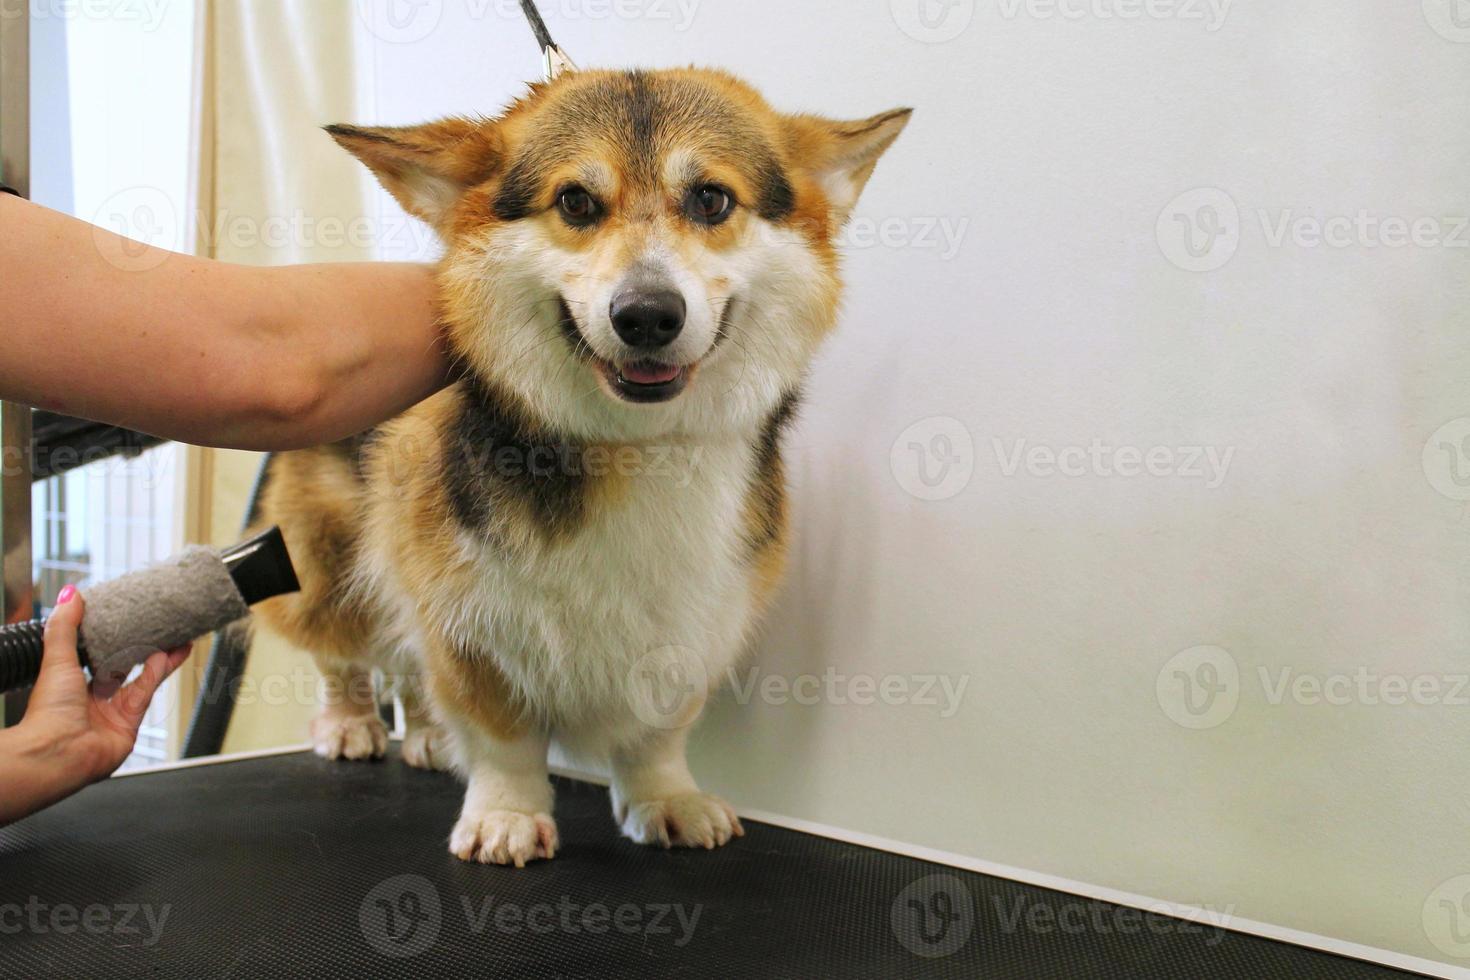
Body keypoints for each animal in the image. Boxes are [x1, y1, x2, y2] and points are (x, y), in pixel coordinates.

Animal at [252, 69, 905, 863]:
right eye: (575, 202)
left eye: (711, 199)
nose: (648, 315)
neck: (638, 446)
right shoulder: (462, 613)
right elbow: (500, 733)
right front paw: (505, 815)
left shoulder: (699, 616)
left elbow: (660, 730)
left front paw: (667, 798)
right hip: (326, 556)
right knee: (344, 652)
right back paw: (352, 723)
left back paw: (428, 738)